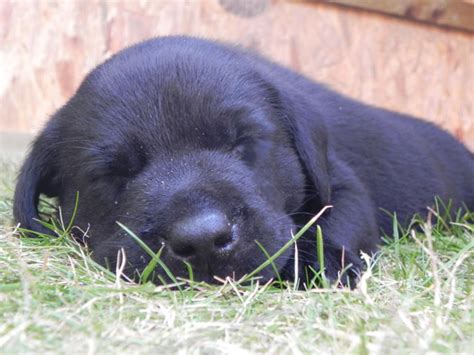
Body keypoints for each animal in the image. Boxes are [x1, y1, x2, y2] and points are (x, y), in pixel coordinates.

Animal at [12, 36, 472, 286]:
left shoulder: (339, 183)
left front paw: (323, 266)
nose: (202, 240)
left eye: (242, 143)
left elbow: (338, 223)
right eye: (115, 173)